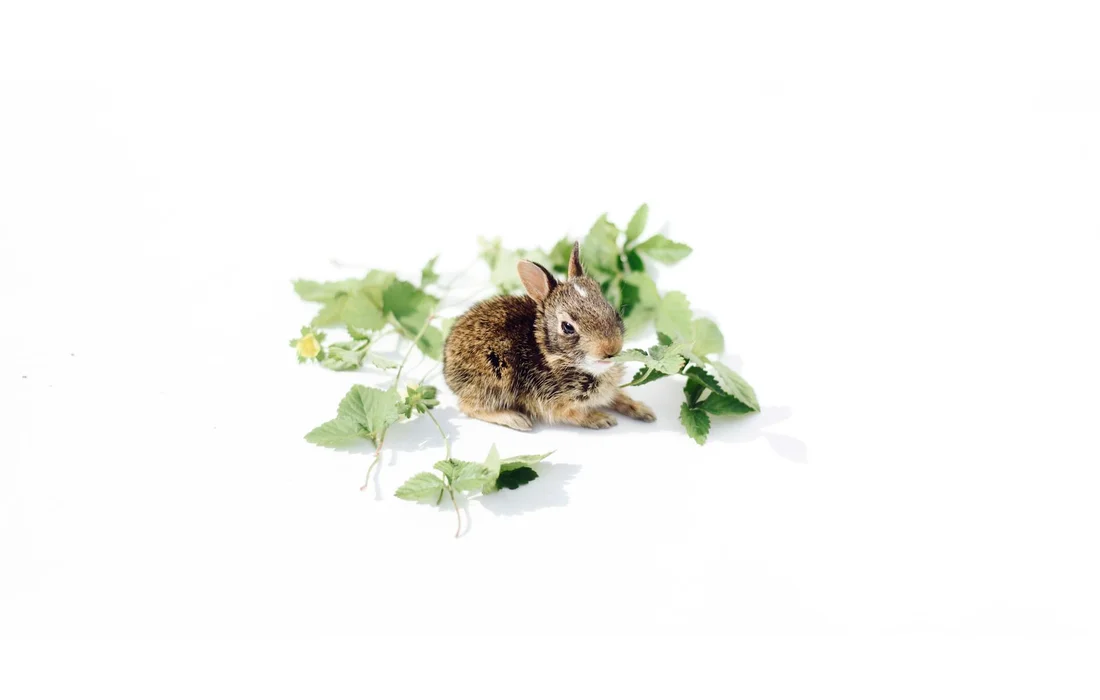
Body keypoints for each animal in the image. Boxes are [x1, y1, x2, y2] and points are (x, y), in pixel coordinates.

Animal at [443, 242, 656, 431]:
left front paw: (643, 410)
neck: (552, 356)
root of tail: (448, 365)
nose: (611, 349)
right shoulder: (552, 404)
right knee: (468, 406)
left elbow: (618, 396)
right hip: (495, 378)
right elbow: (576, 414)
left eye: (613, 311)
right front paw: (602, 419)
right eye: (567, 327)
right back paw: (516, 419)